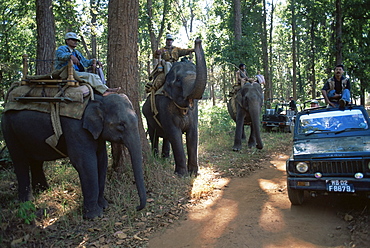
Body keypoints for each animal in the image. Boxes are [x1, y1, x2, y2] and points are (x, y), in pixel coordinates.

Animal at [1, 92, 146, 219]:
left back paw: (42, 190)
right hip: (8, 129)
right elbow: (85, 163)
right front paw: (94, 216)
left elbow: (102, 160)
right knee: (20, 161)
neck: (98, 99)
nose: (137, 207)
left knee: (36, 161)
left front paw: (104, 206)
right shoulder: (75, 128)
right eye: (121, 125)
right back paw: (26, 201)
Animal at [142, 37, 207, 175]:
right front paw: (181, 174)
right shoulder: (164, 106)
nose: (198, 40)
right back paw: (156, 157)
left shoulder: (194, 113)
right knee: (154, 135)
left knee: (166, 137)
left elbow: (193, 133)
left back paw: (165, 158)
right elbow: (175, 134)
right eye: (178, 80)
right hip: (148, 117)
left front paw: (194, 173)